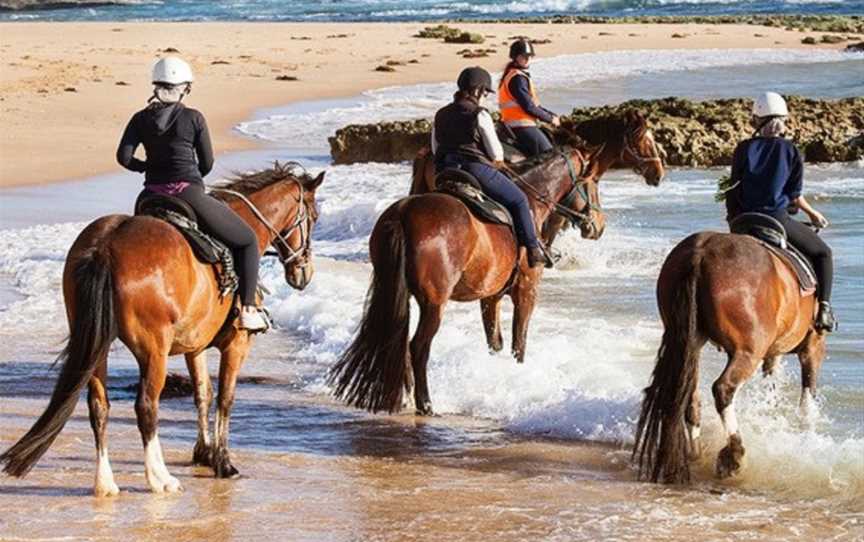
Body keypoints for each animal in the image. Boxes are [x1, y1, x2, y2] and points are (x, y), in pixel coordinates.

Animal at [0, 163, 324, 498]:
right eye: (313, 217)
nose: (304, 272)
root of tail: (106, 246)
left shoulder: (195, 345)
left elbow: (202, 393)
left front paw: (203, 453)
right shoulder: (236, 344)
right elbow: (225, 398)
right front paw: (223, 462)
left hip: (96, 345)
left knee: (99, 406)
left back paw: (105, 483)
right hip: (153, 350)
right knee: (146, 406)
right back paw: (159, 477)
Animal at [332, 149, 608, 416]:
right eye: (593, 182)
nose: (599, 226)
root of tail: (403, 214)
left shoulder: (490, 296)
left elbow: (494, 343)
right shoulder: (526, 292)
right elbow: (519, 344)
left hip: (392, 288)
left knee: (397, 340)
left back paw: (405, 397)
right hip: (434, 303)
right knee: (418, 346)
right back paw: (425, 404)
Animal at [632, 230, 828, 484]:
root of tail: (700, 253)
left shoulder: (773, 353)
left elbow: (771, 388)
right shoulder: (812, 347)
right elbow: (807, 400)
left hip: (689, 341)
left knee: (688, 392)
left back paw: (694, 451)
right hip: (748, 351)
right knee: (723, 388)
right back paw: (733, 455)